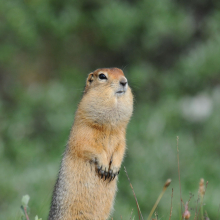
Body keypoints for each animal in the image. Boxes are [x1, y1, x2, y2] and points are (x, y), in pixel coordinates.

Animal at [48, 67, 133, 220]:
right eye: (102, 76)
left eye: (122, 72)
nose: (124, 82)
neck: (108, 128)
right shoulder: (82, 133)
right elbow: (87, 146)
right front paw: (104, 165)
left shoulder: (121, 137)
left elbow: (121, 148)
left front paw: (114, 168)